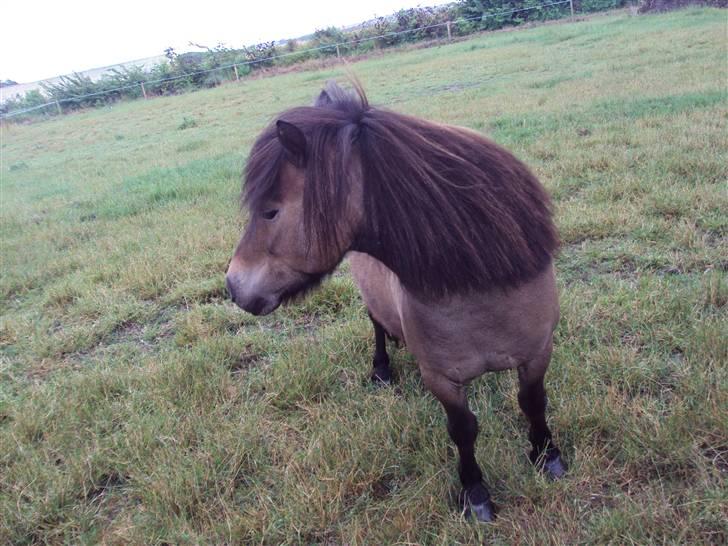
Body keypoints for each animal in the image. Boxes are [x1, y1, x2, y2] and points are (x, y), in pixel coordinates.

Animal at [225, 79, 564, 520]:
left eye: (270, 211)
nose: (233, 285)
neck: (478, 288)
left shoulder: (537, 353)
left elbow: (533, 402)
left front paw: (547, 455)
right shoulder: (442, 379)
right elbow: (463, 430)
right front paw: (475, 493)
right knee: (375, 324)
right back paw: (382, 369)